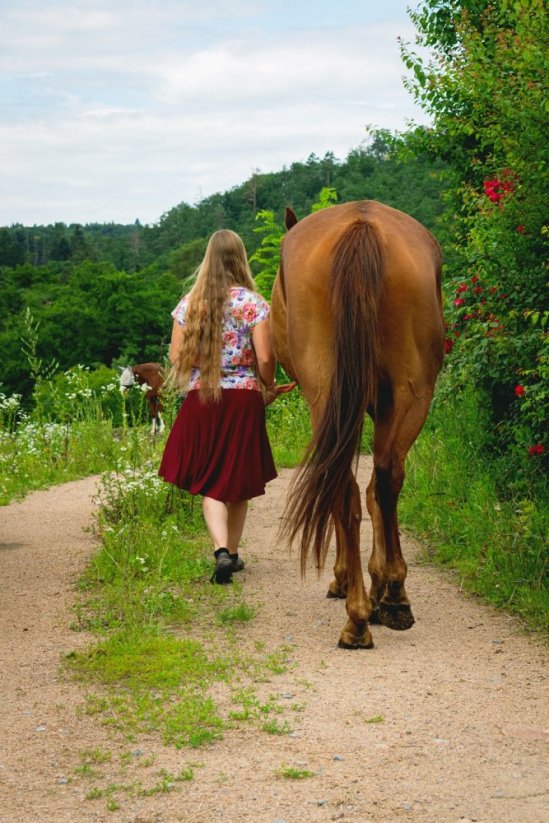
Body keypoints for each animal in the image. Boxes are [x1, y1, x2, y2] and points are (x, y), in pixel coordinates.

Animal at [270, 200, 446, 652]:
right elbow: (374, 493)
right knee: (385, 479)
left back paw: (359, 615)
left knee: (346, 487)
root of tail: (361, 224)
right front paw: (380, 583)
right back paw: (393, 600)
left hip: (330, 398)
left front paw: (351, 579)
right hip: (411, 393)